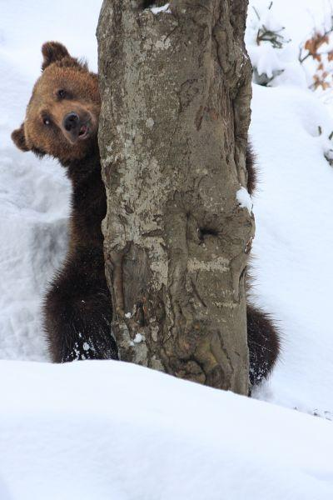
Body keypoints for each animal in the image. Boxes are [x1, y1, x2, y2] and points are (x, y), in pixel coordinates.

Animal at [11, 43, 278, 386]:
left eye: (61, 90)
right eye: (45, 121)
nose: (70, 120)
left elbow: (243, 179)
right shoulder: (93, 201)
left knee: (266, 336)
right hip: (85, 280)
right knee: (69, 315)